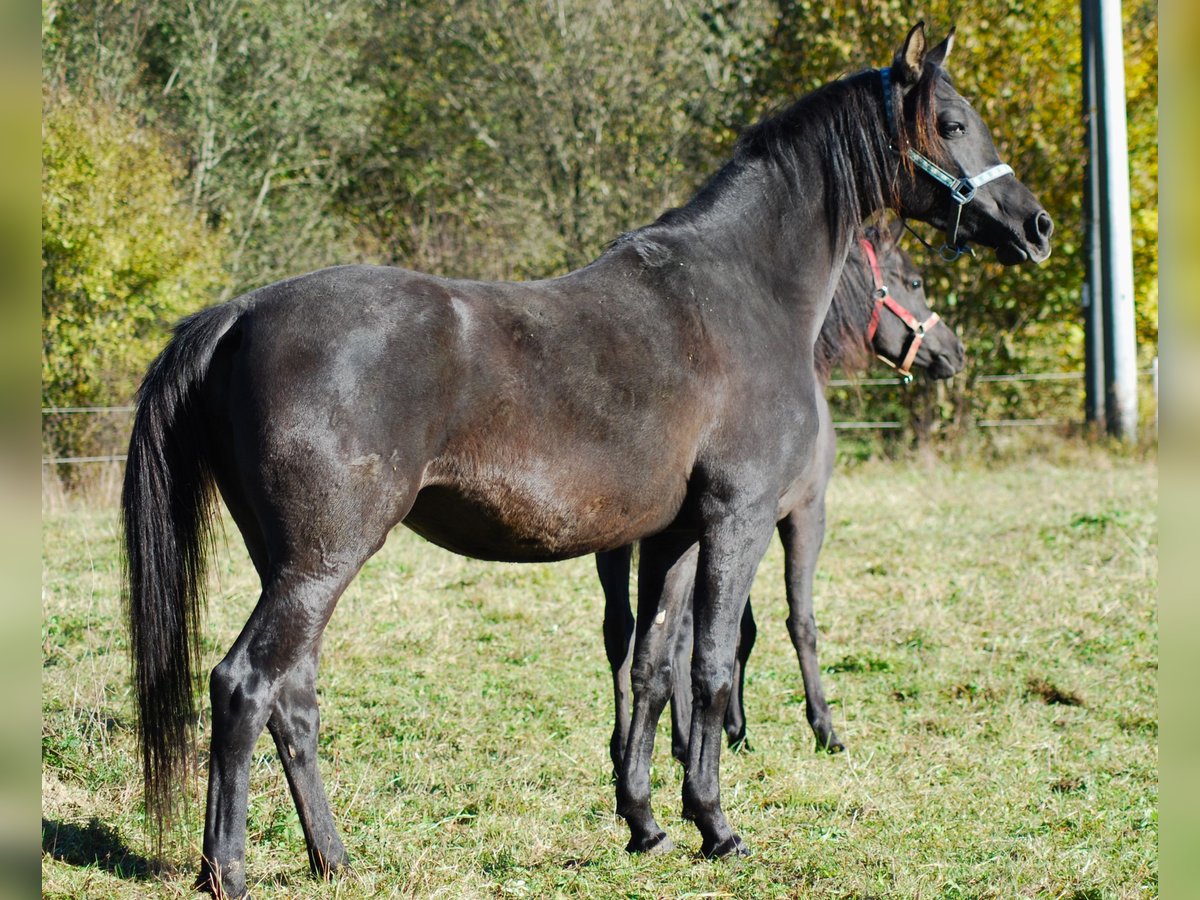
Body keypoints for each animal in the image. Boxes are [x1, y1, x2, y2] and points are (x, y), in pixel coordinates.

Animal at [597, 222, 964, 777]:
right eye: (916, 281)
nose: (953, 350)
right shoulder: (802, 515)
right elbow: (799, 622)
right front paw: (822, 728)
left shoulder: (744, 523)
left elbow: (739, 631)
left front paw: (732, 731)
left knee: (624, 631)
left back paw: (631, 749)